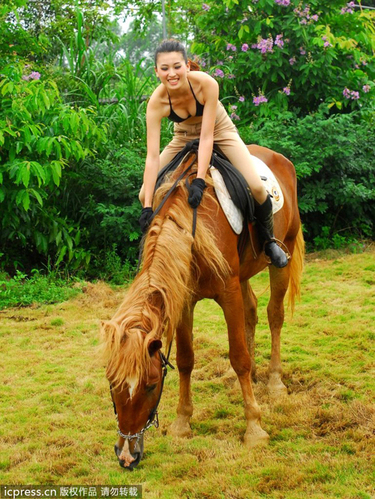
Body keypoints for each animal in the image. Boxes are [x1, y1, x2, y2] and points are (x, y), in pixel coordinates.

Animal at [100, 145, 306, 468]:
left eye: (150, 385)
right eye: (112, 383)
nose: (126, 455)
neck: (192, 230)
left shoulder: (228, 293)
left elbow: (238, 357)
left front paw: (254, 428)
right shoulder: (184, 300)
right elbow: (186, 360)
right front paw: (182, 423)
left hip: (282, 253)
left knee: (275, 315)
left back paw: (274, 381)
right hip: (244, 273)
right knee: (252, 311)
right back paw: (253, 379)